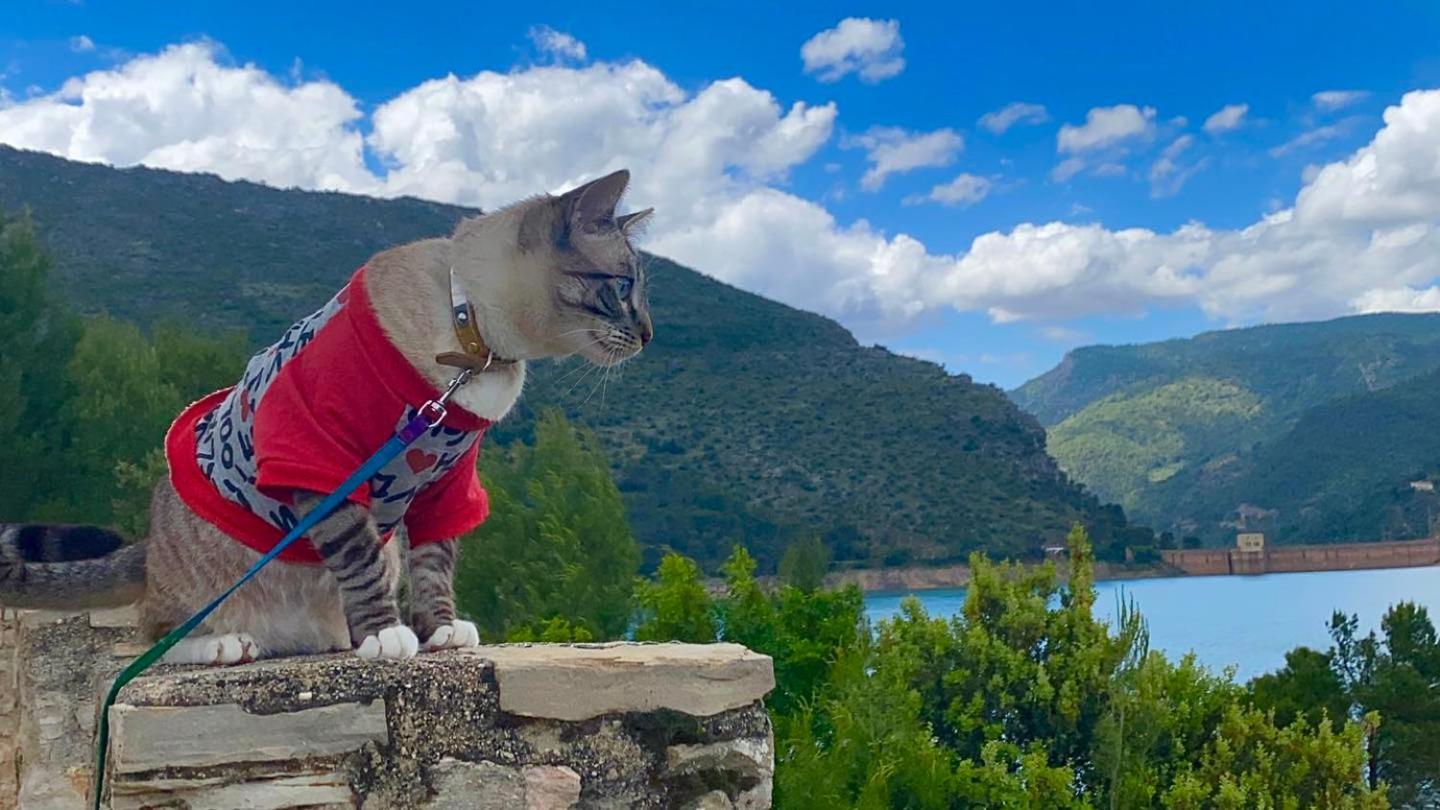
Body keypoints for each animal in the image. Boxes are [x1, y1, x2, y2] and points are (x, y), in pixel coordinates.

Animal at [0, 169, 653, 665]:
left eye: (640, 291)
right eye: (622, 286)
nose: (650, 333)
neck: (471, 344)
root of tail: (149, 543)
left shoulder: (447, 481)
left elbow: (435, 564)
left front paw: (438, 629)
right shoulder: (320, 460)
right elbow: (358, 559)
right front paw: (386, 635)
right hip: (199, 583)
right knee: (157, 632)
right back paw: (225, 644)